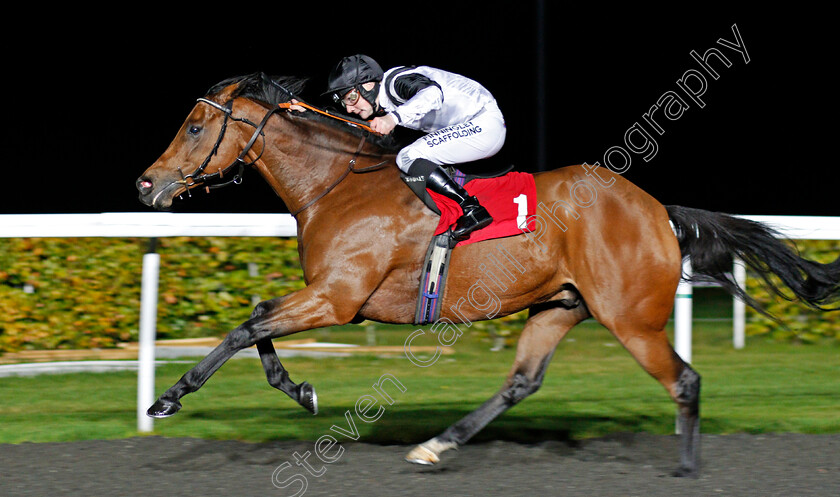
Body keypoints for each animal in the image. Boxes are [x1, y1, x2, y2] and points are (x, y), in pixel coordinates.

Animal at [135, 71, 836, 474]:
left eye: (194, 125)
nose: (146, 184)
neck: (337, 186)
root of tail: (658, 210)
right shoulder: (328, 297)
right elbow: (257, 323)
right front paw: (299, 389)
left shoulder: (336, 298)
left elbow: (243, 329)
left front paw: (169, 398)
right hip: (559, 304)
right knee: (522, 381)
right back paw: (436, 445)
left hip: (630, 318)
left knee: (684, 381)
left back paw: (687, 471)